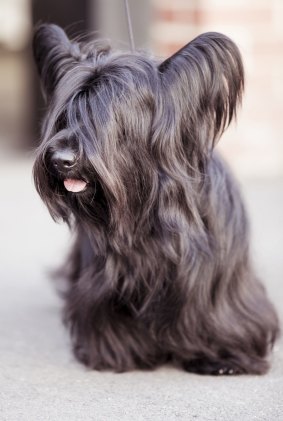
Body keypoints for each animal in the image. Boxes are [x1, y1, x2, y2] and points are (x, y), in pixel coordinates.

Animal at [32, 23, 280, 372]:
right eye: (64, 116)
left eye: (107, 116)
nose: (59, 159)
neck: (144, 205)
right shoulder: (105, 279)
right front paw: (118, 352)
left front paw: (224, 356)